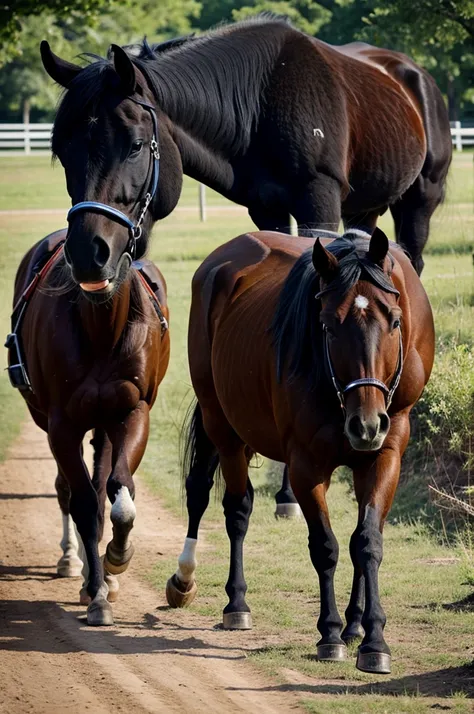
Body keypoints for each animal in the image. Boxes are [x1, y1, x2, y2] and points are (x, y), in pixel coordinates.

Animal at [8, 228, 169, 624]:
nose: (89, 253)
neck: (102, 329)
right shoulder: (60, 425)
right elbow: (80, 499)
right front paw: (96, 591)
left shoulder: (130, 412)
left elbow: (116, 491)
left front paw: (114, 561)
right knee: (68, 489)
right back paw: (72, 560)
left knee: (100, 486)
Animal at [41, 16, 452, 274]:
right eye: (62, 153)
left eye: (136, 146)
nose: (86, 251)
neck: (259, 102)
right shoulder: (266, 210)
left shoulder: (319, 202)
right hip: (364, 208)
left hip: (419, 200)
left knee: (412, 259)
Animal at [166, 225, 434, 672]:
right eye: (327, 324)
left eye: (395, 320)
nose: (366, 423)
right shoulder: (306, 463)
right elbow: (324, 546)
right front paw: (330, 633)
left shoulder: (386, 452)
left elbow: (367, 541)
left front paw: (371, 639)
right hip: (222, 424)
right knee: (233, 507)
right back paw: (231, 601)